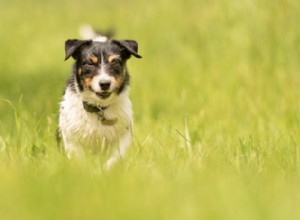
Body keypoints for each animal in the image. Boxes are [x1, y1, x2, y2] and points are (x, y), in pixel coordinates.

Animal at [57, 27, 142, 168]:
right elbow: (79, 161)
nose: (104, 84)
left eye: (115, 62)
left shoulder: (123, 137)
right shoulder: (72, 139)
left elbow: (114, 159)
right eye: (90, 63)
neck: (99, 108)